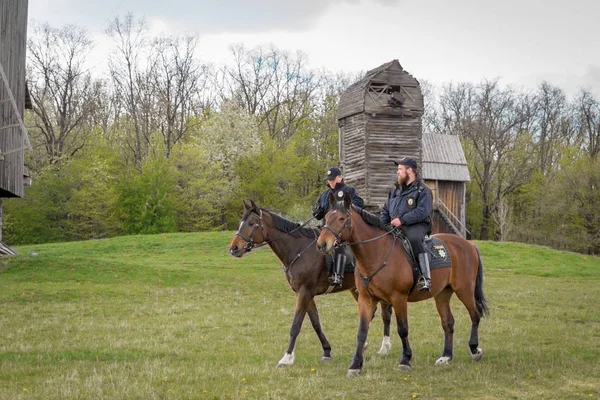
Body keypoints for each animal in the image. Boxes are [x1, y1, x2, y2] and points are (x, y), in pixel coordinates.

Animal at [227, 200, 392, 368]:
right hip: (357, 290)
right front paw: (327, 351)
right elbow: (315, 323)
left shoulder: (304, 292)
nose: (234, 248)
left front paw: (287, 357)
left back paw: (384, 347)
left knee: (385, 314)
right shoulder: (307, 294)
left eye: (251, 223)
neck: (298, 249)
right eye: (241, 222)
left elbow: (296, 325)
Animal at [314, 192, 488, 376]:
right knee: (448, 323)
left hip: (464, 290)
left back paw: (474, 350)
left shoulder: (399, 298)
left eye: (341, 218)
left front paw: (405, 360)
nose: (322, 244)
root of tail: (469, 245)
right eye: (326, 217)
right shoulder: (366, 299)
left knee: (475, 315)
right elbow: (361, 331)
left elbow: (402, 329)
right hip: (442, 294)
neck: (378, 253)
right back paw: (446, 357)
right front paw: (355, 365)